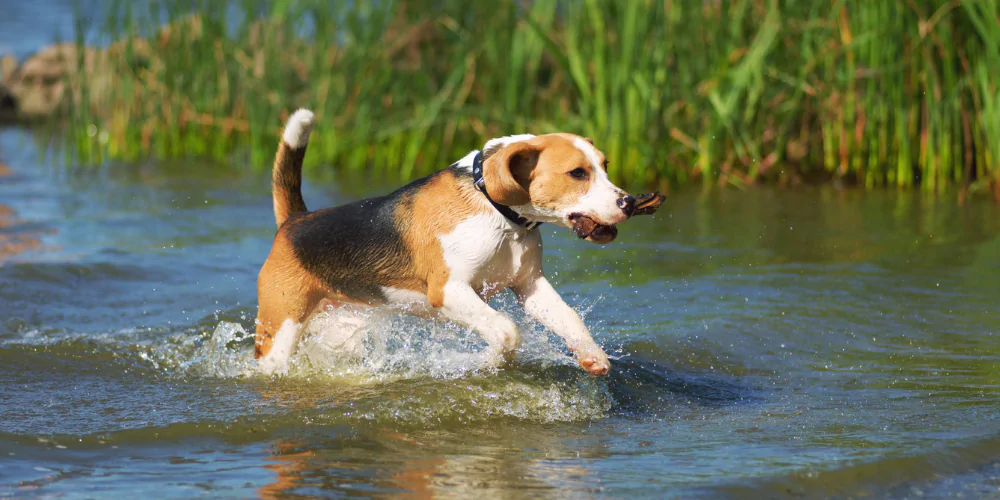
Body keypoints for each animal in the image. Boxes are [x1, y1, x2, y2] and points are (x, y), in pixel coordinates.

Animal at [256, 109, 640, 376]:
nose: (629, 203)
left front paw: (592, 356)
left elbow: (570, 319)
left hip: (344, 324)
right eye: (577, 173)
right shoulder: (449, 291)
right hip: (279, 330)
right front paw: (485, 361)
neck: (496, 212)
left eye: (605, 166)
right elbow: (506, 330)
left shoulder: (530, 285)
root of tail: (294, 221)